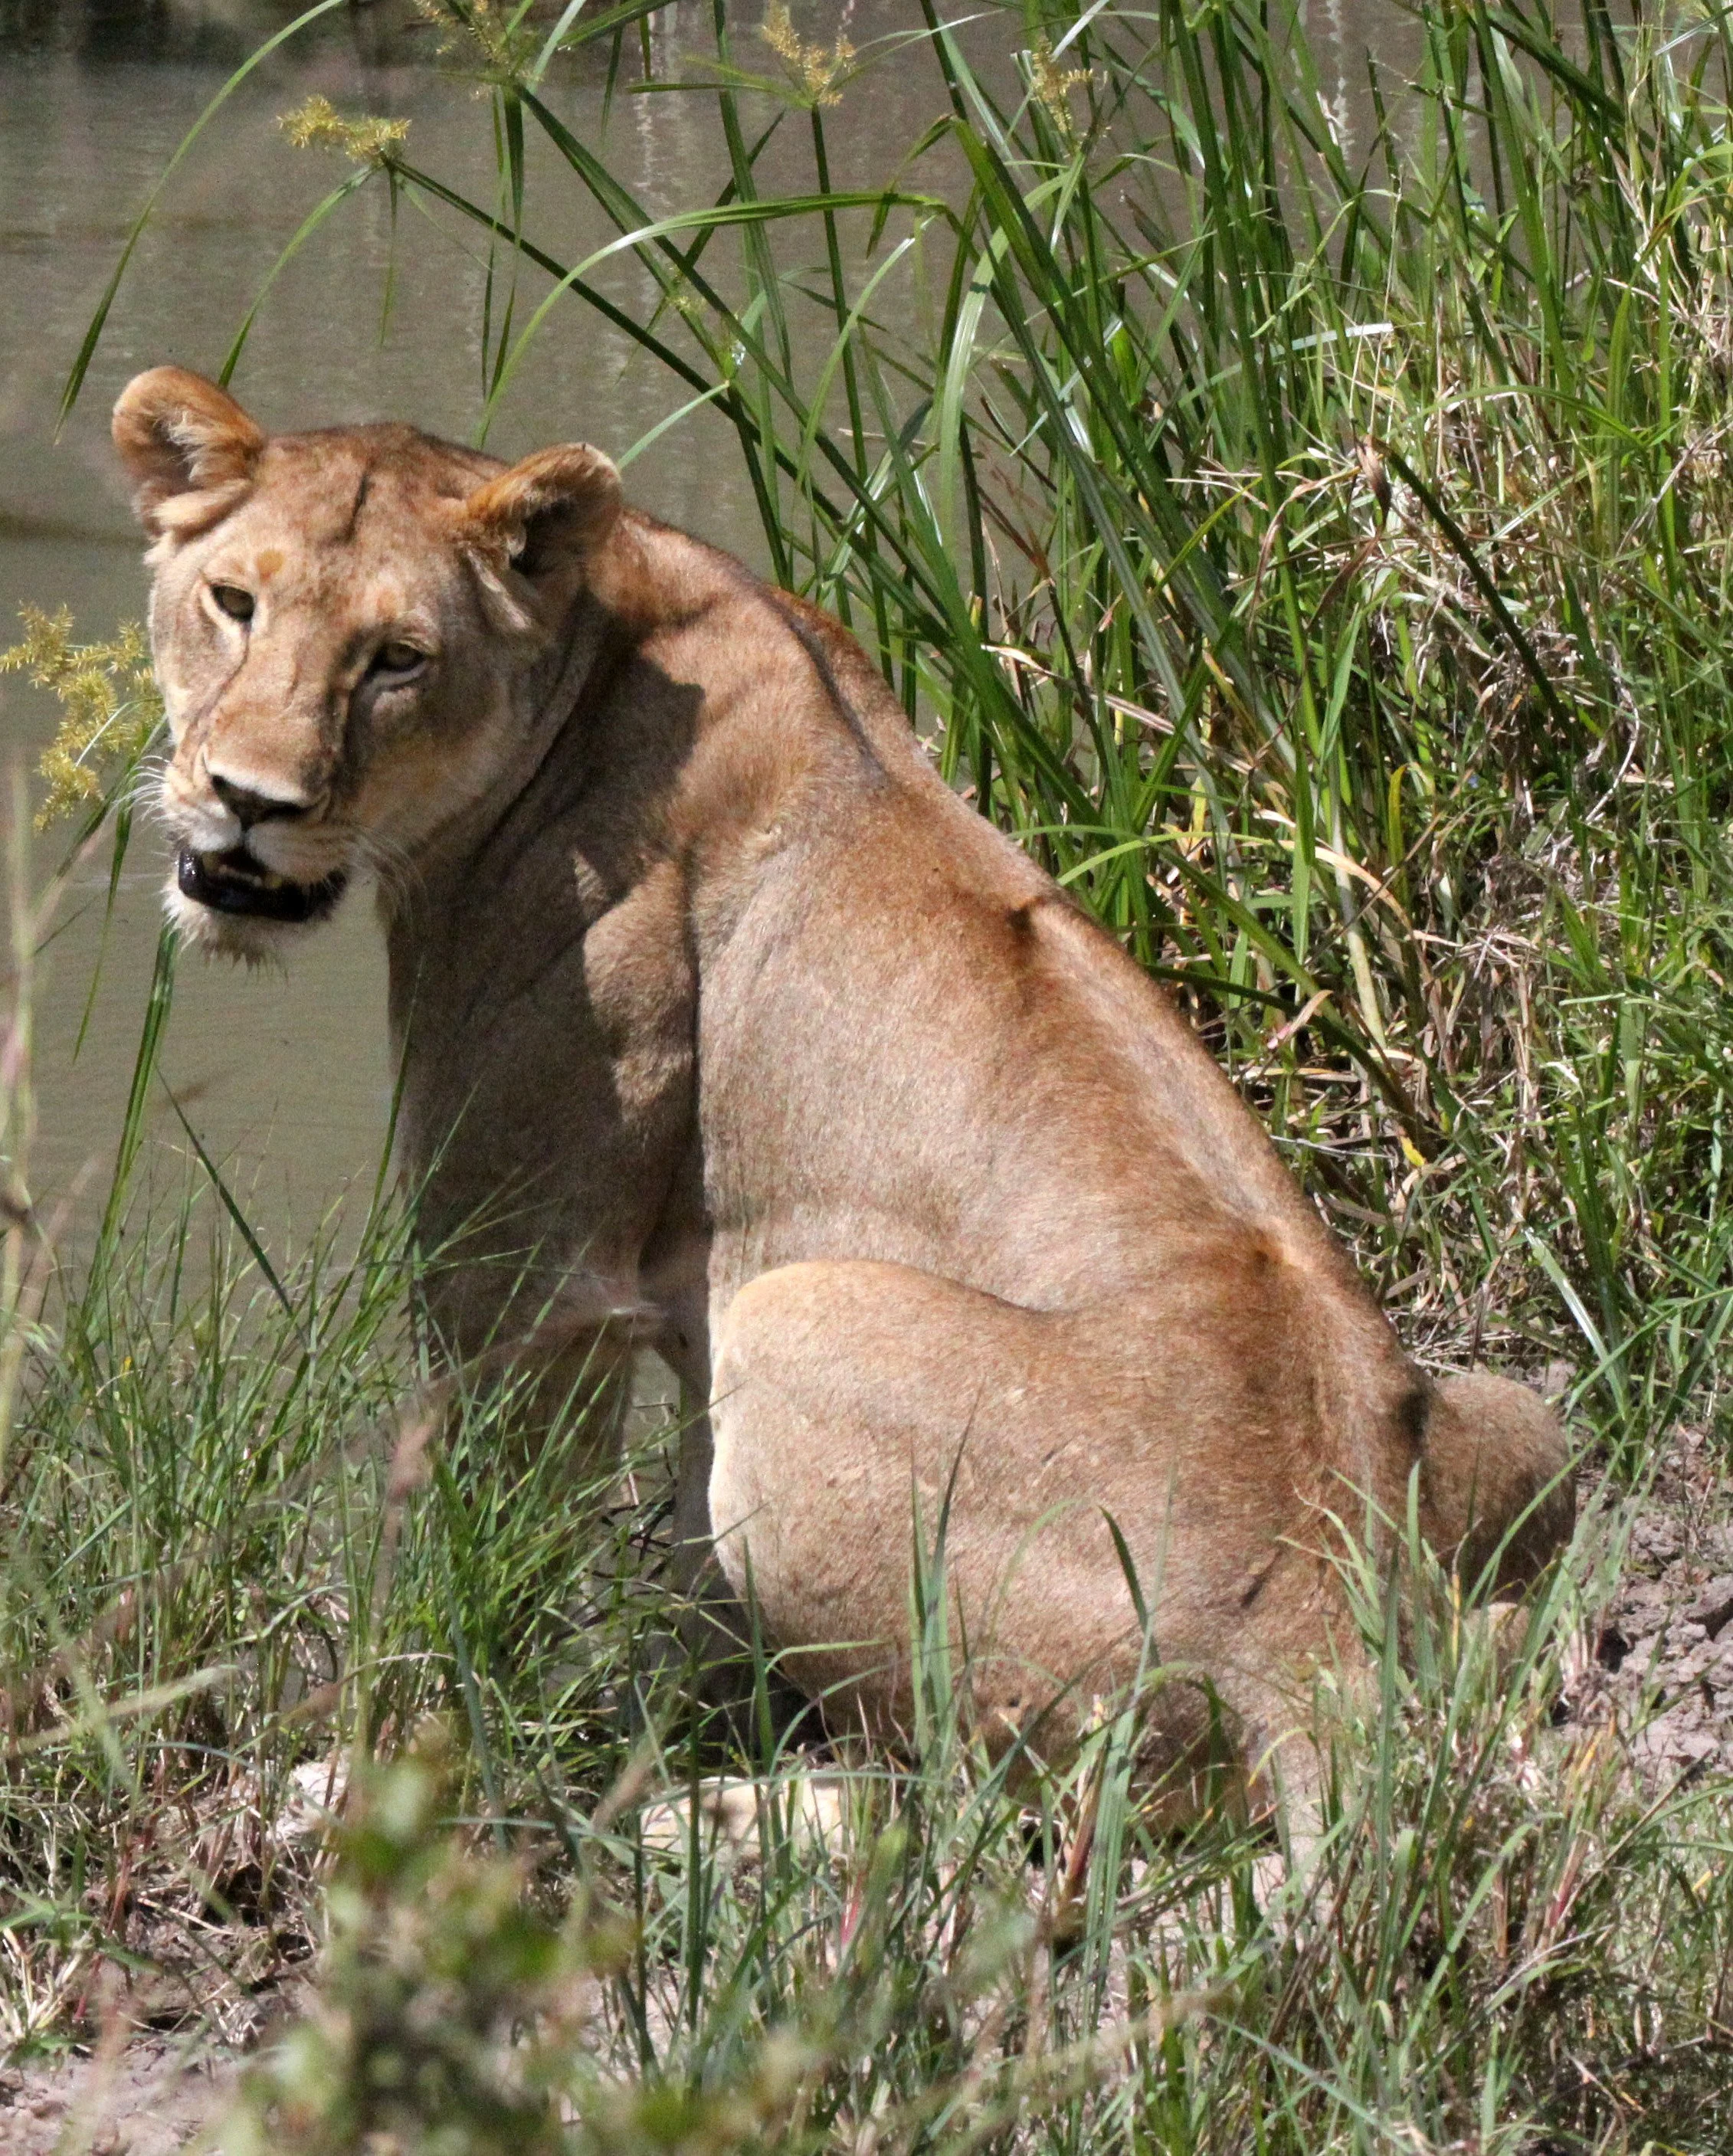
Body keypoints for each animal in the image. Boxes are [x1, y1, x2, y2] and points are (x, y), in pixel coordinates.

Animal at [113, 365, 1573, 1809]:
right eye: (233, 602)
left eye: (398, 659)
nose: (248, 799)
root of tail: (1322, 1641)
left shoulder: (520, 1266)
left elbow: (481, 1555)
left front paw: (405, 1743)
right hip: (1521, 1421)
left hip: (793, 1318)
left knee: (959, 1797)